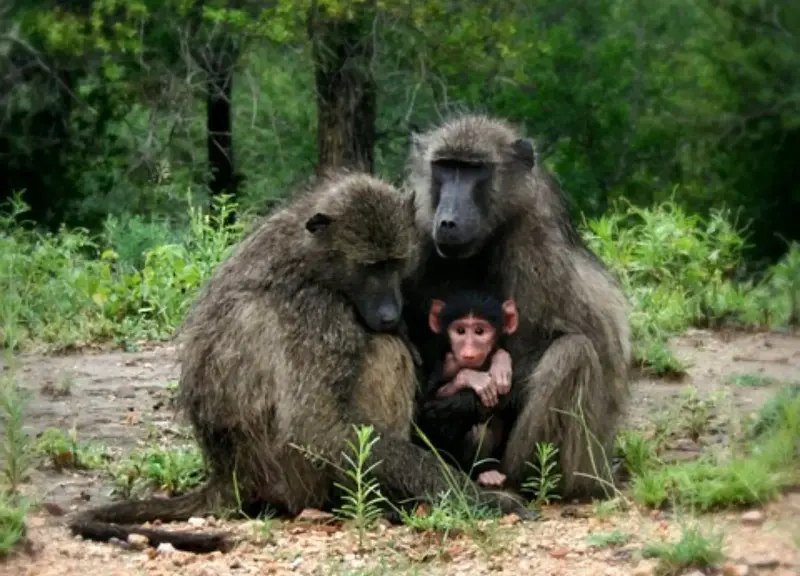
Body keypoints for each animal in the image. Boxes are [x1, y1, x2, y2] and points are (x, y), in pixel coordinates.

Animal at [424, 291, 519, 488]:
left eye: (479, 331)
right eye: (460, 331)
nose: (469, 351)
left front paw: (500, 362)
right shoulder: (446, 363)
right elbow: (429, 409)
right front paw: (472, 378)